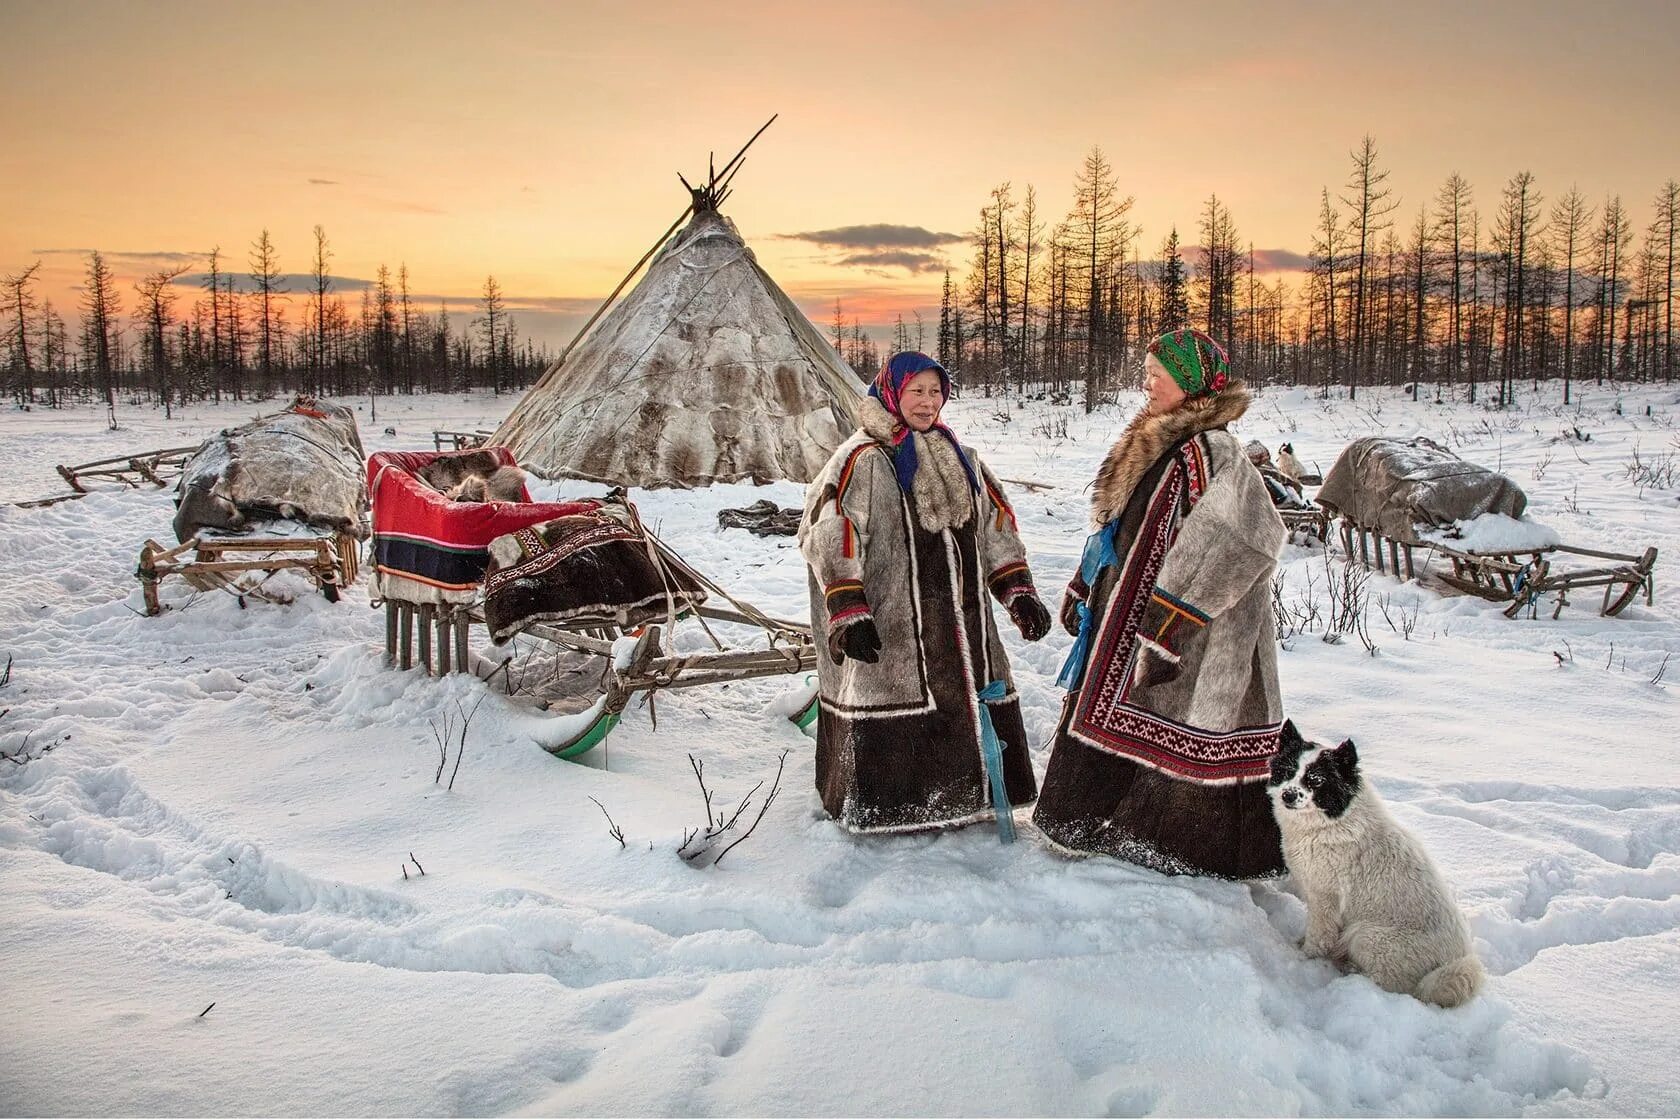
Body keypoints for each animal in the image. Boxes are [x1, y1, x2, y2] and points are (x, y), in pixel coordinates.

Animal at [1270, 722, 1485, 1014]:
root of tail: (1455, 962)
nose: (1288, 795)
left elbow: (1319, 937)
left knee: (1391, 984)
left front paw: (1305, 958)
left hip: (1367, 936)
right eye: (1288, 771)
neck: (1333, 823)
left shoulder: (1325, 898)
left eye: (1316, 780)